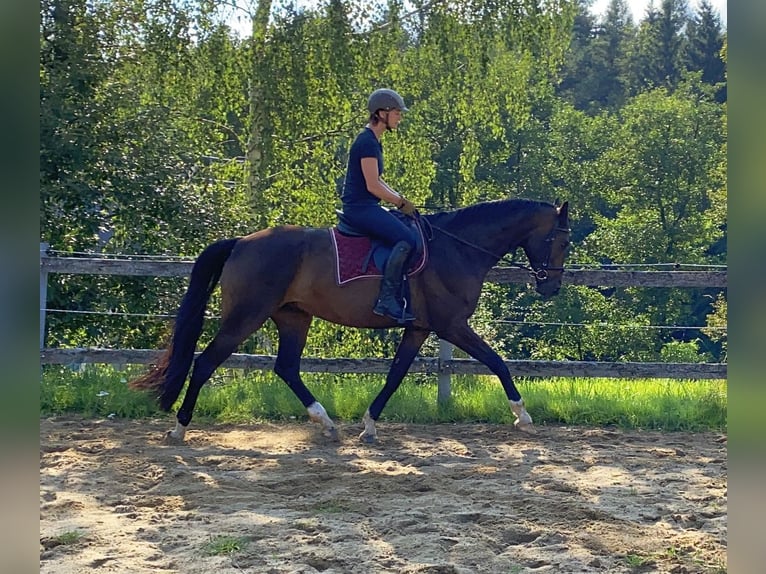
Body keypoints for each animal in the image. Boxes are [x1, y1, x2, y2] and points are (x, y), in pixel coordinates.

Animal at [130, 198, 568, 446]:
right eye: (562, 241)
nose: (551, 287)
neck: (457, 248)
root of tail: (240, 243)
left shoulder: (419, 328)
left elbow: (395, 375)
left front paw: (370, 425)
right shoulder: (452, 325)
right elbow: (497, 362)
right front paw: (523, 416)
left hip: (293, 317)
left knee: (286, 368)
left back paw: (326, 424)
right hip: (246, 317)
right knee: (206, 363)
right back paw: (179, 429)